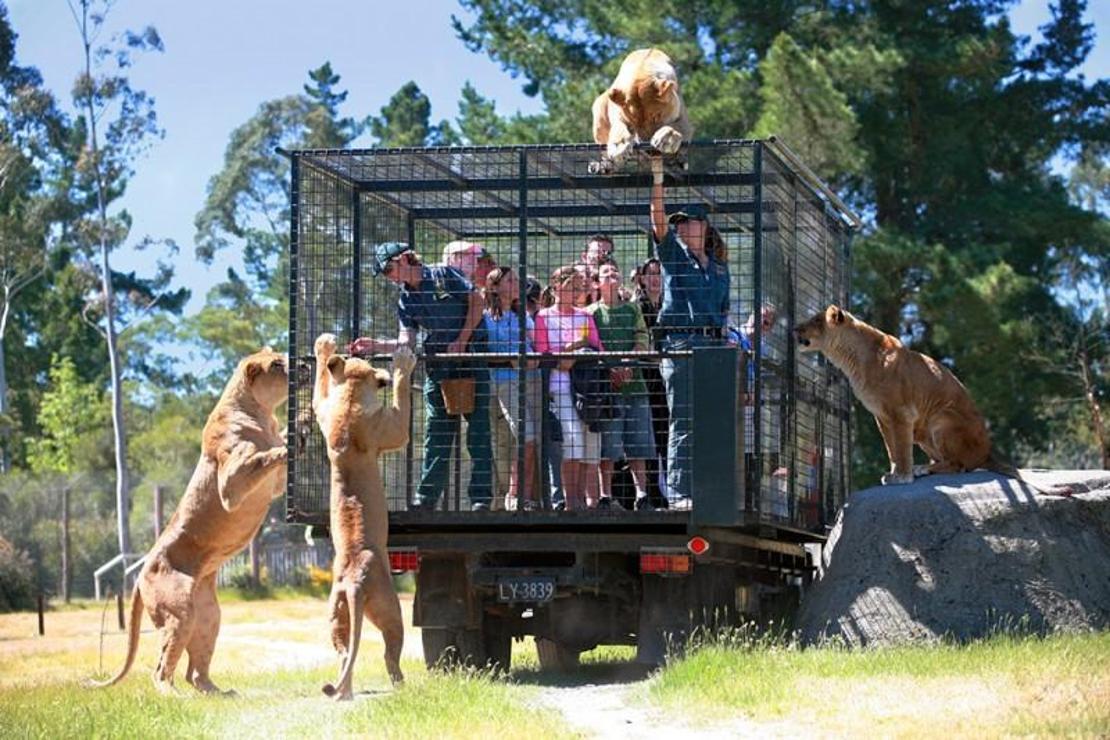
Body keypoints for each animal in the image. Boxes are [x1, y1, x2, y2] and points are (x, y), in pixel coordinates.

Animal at [89, 348, 288, 696]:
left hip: (208, 616)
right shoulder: (230, 484)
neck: (262, 412)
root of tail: (139, 576)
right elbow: (263, 455)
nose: (293, 361)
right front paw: (290, 443)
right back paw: (174, 696)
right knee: (161, 670)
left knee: (194, 672)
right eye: (277, 364)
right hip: (178, 614)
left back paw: (218, 693)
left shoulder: (274, 485)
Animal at [313, 335, 417, 701]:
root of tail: (354, 581)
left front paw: (325, 345)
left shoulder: (323, 411)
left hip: (336, 613)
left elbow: (320, 382)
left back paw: (342, 692)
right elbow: (402, 401)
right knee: (390, 654)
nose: (382, 371)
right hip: (392, 611)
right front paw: (402, 362)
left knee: (345, 652)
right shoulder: (393, 428)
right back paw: (403, 686)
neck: (349, 398)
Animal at [794, 306, 1016, 485]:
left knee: (958, 464)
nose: (795, 328)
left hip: (941, 417)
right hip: (923, 433)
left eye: (816, 320)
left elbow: (901, 447)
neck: (852, 359)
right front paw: (893, 472)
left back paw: (921, 469)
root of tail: (987, 453)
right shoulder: (881, 416)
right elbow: (891, 447)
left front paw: (902, 476)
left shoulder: (901, 412)